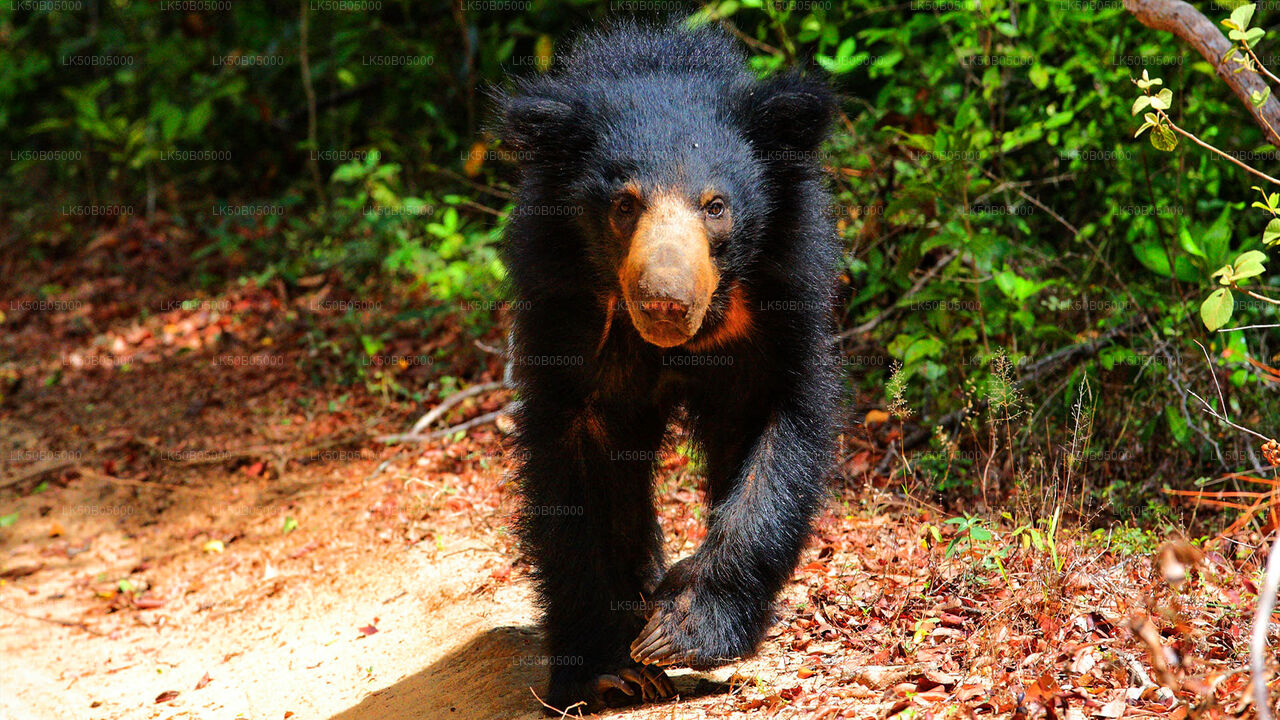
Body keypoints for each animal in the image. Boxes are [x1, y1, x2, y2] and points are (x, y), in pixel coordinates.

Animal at [496, 19, 839, 707]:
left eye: (715, 206)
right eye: (624, 205)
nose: (664, 302)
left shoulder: (783, 296)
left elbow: (774, 447)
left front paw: (681, 630)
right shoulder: (565, 307)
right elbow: (576, 471)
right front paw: (610, 667)